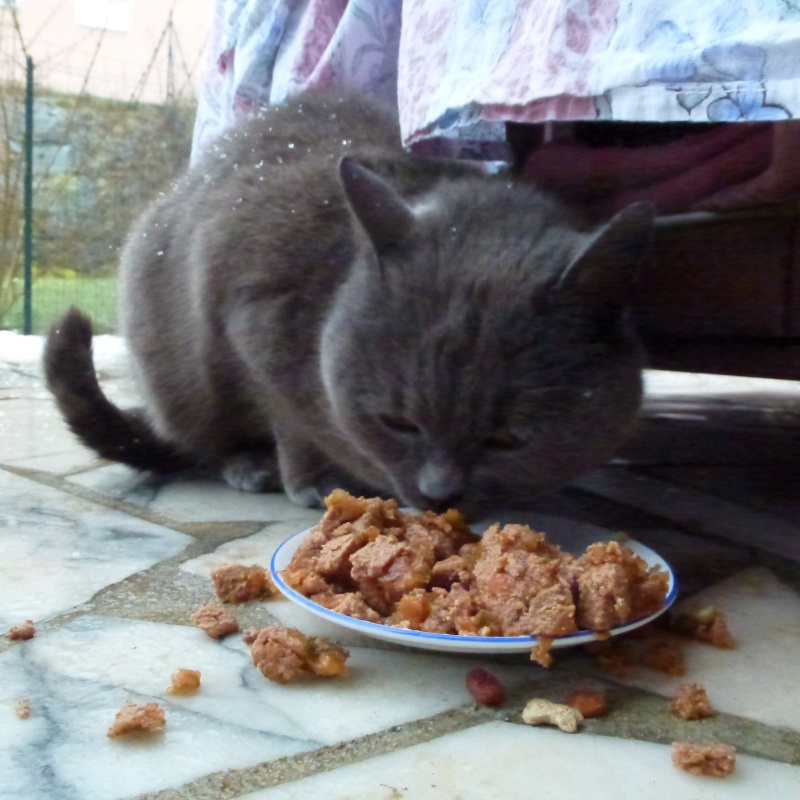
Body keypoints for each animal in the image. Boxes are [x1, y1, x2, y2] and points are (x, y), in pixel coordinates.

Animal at [43, 90, 652, 516]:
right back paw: (248, 465)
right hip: (177, 365)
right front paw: (314, 480)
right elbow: (290, 418)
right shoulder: (249, 319)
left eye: (510, 439)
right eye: (397, 422)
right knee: (201, 436)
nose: (440, 494)